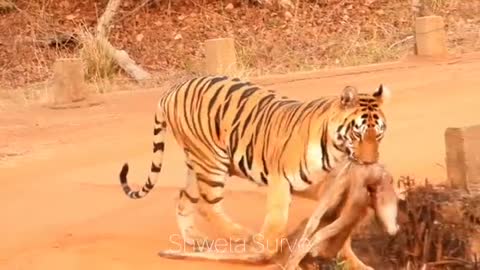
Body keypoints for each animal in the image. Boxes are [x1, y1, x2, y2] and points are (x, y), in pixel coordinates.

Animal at [119, 75, 390, 262]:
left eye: (379, 134)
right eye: (357, 133)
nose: (370, 162)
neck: (334, 150)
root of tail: (172, 90)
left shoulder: (325, 187)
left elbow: (334, 224)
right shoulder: (281, 179)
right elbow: (277, 219)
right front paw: (264, 250)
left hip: (196, 164)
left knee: (184, 197)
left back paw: (194, 239)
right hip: (211, 161)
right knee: (208, 204)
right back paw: (240, 235)